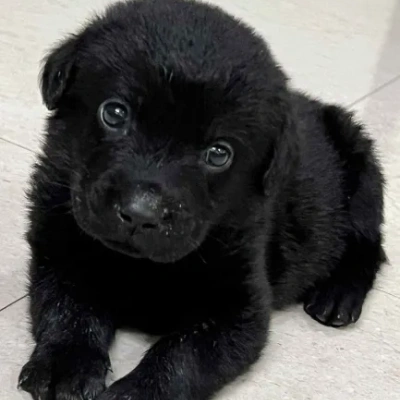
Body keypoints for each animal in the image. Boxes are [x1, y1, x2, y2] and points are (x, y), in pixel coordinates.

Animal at [18, 0, 384, 400]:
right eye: (114, 113)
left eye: (219, 154)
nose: (141, 214)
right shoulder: (57, 250)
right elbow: (68, 308)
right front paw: (65, 364)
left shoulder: (239, 309)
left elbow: (181, 355)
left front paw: (137, 392)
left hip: (364, 176)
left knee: (370, 246)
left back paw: (339, 294)